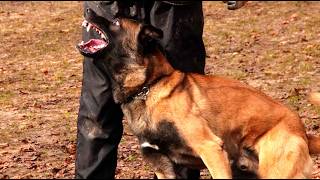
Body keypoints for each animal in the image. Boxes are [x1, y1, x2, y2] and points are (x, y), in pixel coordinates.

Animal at [77, 8, 320, 179]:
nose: (88, 10)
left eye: (116, 22)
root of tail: (302, 131)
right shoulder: (163, 166)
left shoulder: (211, 149)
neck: (149, 86)